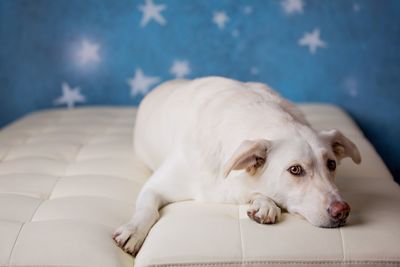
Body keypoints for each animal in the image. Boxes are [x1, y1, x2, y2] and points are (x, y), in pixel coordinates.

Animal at [111, 76, 360, 256]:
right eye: (295, 169)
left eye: (331, 164)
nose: (343, 211)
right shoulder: (155, 186)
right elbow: (148, 210)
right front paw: (134, 230)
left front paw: (263, 203)